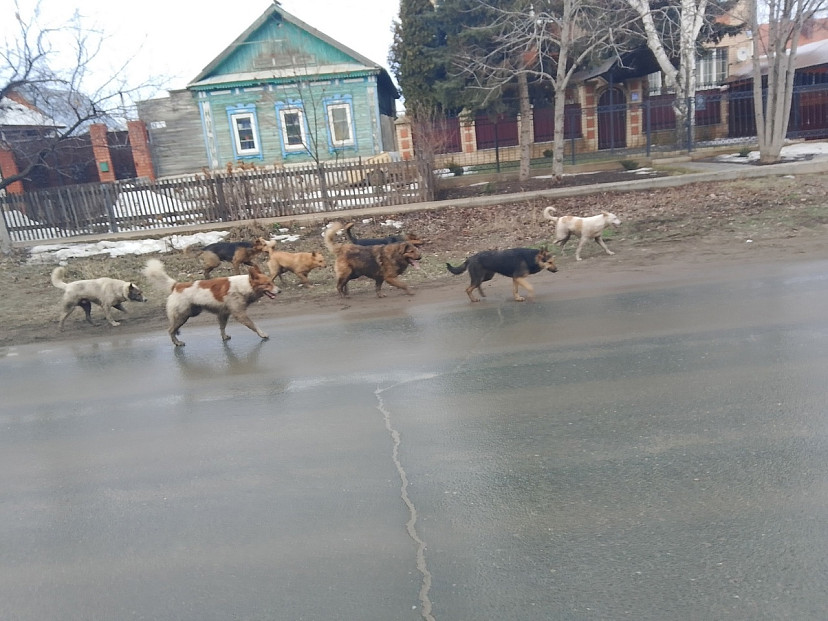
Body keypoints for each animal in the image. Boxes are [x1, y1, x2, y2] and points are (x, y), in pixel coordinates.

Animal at [143, 256, 278, 344]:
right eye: (267, 284)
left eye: (272, 282)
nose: (280, 290)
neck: (244, 286)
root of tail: (177, 285)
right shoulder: (240, 314)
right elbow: (254, 325)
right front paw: (262, 334)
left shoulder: (223, 314)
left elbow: (222, 328)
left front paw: (224, 337)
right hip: (182, 316)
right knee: (171, 330)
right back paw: (177, 343)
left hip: (190, 313)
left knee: (173, 330)